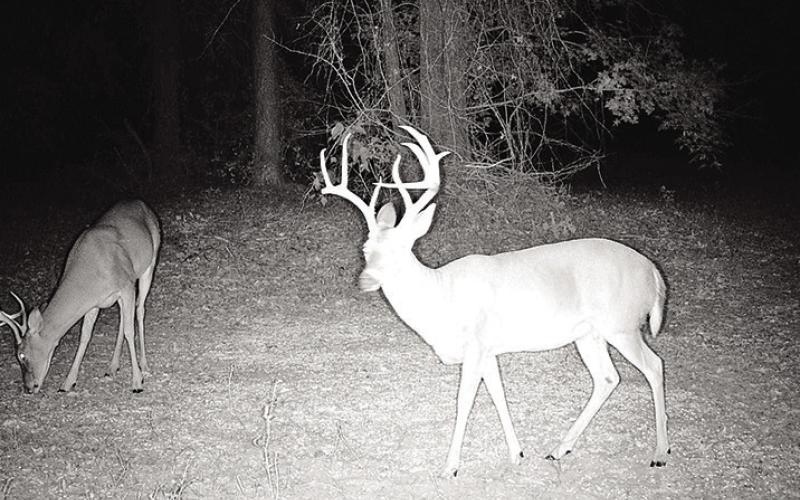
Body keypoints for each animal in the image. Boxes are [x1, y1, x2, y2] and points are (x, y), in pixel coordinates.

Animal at [0, 200, 161, 394]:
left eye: (21, 355)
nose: (28, 388)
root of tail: (142, 203)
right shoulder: (94, 303)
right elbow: (85, 336)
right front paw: (67, 383)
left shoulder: (126, 285)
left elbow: (130, 331)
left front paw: (137, 382)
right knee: (123, 319)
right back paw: (112, 367)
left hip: (149, 264)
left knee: (140, 310)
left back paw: (144, 365)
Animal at [319, 126, 670, 477]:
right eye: (365, 249)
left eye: (401, 250)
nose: (365, 280)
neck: (440, 298)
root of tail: (653, 273)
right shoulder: (488, 351)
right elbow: (499, 395)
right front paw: (518, 453)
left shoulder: (475, 345)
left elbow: (464, 402)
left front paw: (450, 467)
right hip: (588, 334)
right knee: (608, 377)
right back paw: (559, 449)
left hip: (621, 324)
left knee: (654, 366)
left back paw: (661, 452)